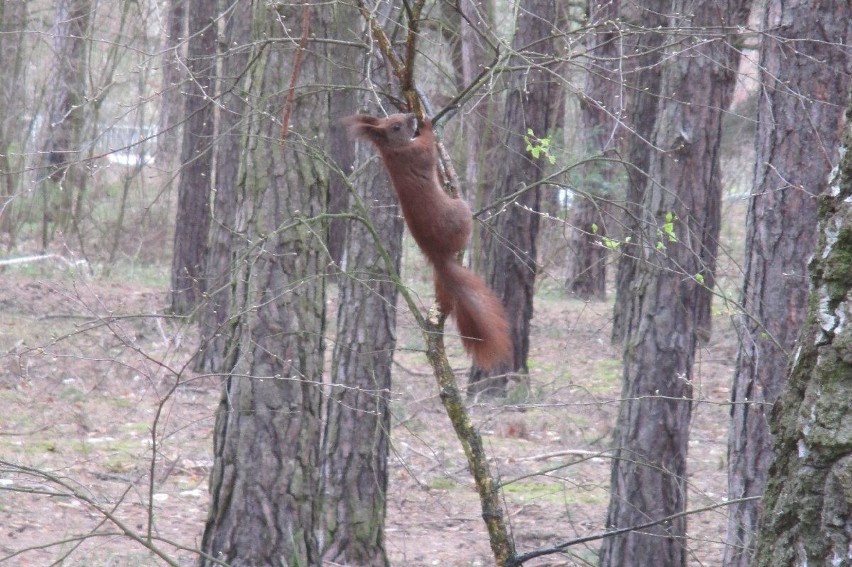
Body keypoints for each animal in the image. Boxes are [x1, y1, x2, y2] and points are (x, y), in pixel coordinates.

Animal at [344, 113, 512, 370]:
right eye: (396, 126)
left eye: (395, 116)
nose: (412, 116)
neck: (393, 151)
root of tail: (437, 256)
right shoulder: (416, 154)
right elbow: (428, 148)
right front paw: (428, 126)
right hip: (461, 213)